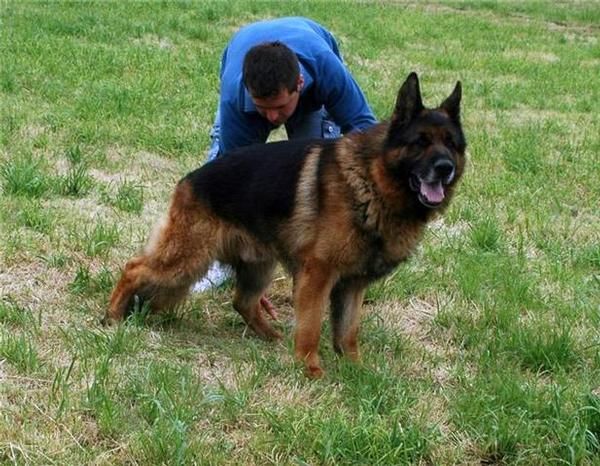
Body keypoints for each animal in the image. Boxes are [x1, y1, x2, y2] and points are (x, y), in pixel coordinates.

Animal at [105, 73, 466, 378]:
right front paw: (311, 370)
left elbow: (348, 332)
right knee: (134, 268)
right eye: (420, 142)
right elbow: (310, 327)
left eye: (451, 144)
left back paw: (270, 336)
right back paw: (111, 316)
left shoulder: (352, 285)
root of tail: (188, 181)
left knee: (242, 302)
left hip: (256, 265)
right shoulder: (317, 274)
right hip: (187, 259)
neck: (372, 181)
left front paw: (356, 371)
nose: (445, 168)